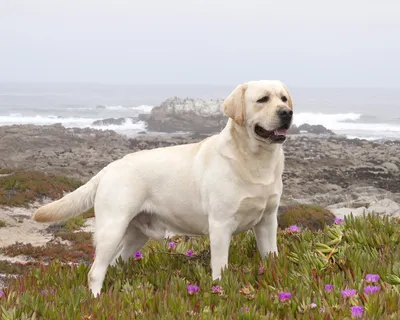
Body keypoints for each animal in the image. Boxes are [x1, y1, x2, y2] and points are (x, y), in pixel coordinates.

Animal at [32, 79, 294, 296]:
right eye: (262, 99)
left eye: (283, 98)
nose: (287, 113)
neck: (255, 160)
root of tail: (108, 168)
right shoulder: (220, 225)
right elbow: (220, 267)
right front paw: (220, 288)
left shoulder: (267, 221)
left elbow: (271, 255)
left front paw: (275, 276)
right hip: (112, 228)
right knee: (95, 271)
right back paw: (96, 300)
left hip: (136, 235)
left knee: (115, 263)